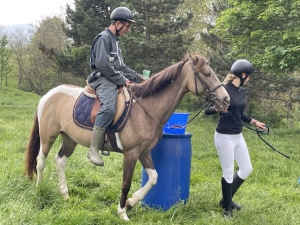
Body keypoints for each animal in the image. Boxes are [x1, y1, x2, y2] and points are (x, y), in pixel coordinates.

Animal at [24, 51, 230, 221]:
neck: (146, 109)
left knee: (60, 161)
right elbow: (125, 183)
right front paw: (122, 212)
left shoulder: (144, 152)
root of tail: (48, 95)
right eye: (207, 74)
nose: (226, 99)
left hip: (69, 139)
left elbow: (154, 177)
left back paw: (65, 195)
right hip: (48, 137)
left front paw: (131, 203)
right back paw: (39, 189)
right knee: (40, 161)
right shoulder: (131, 153)